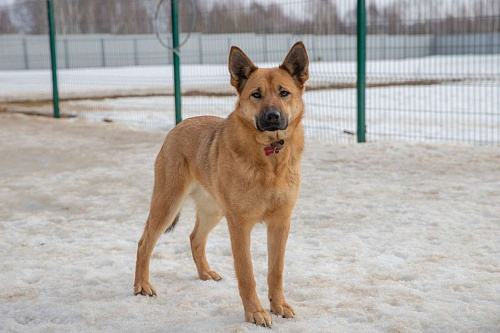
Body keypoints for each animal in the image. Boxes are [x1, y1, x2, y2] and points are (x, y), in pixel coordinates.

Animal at [135, 41, 310, 326]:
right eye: (256, 94)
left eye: (284, 93)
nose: (272, 117)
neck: (270, 154)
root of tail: (179, 124)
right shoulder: (239, 225)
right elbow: (247, 272)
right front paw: (255, 313)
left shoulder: (280, 223)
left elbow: (276, 271)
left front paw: (279, 305)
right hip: (168, 203)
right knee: (144, 242)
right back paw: (141, 285)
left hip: (213, 210)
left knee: (195, 238)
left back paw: (204, 273)